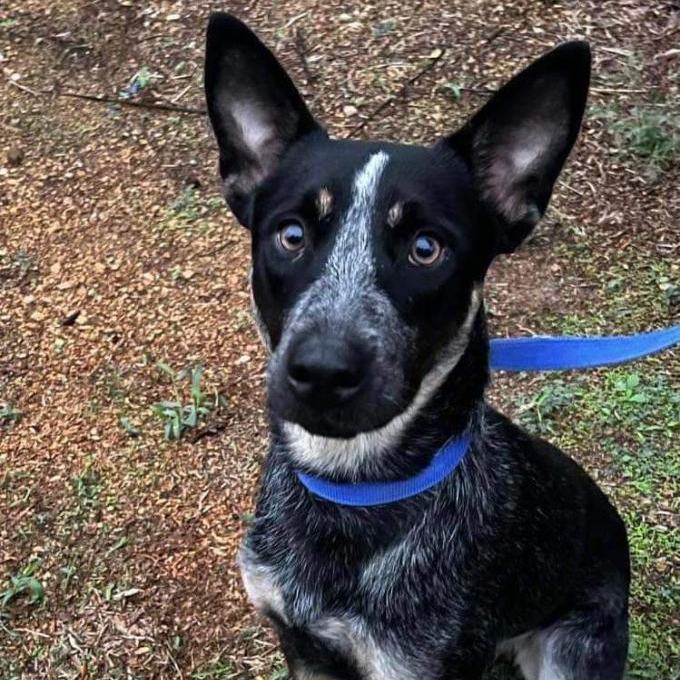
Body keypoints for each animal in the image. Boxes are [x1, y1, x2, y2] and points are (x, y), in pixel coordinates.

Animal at [203, 13, 632, 676]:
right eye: (291, 234)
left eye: (426, 248)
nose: (322, 370)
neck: (350, 493)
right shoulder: (300, 644)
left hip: (571, 649)